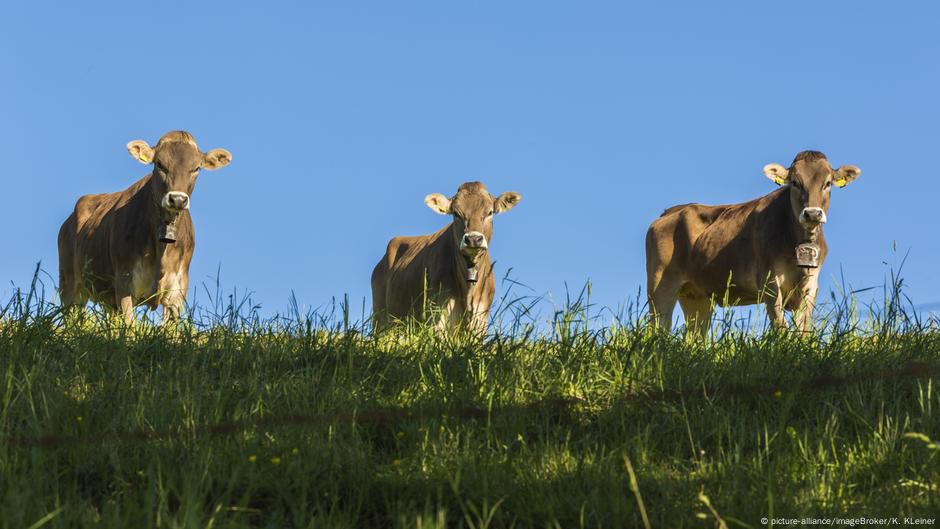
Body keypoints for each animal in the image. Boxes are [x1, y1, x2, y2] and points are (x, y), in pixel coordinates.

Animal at [57, 131, 232, 322]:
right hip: (70, 285)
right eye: (160, 164)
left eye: (196, 168)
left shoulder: (177, 290)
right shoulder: (124, 282)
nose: (178, 199)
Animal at [370, 182, 520, 330]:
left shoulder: (480, 318)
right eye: (456, 213)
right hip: (381, 320)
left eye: (490, 212)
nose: (473, 239)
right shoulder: (438, 316)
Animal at [648, 151, 860, 334]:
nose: (813, 213)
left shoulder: (810, 285)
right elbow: (780, 327)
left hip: (696, 295)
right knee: (659, 330)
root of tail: (670, 211)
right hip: (660, 285)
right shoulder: (769, 281)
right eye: (795, 182)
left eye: (828, 183)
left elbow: (804, 330)